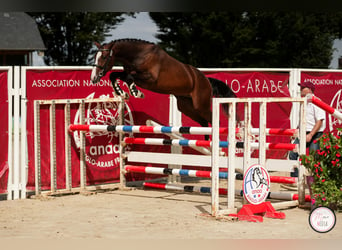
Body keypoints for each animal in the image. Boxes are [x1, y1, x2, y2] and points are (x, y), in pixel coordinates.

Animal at [89, 38, 236, 135]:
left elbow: (130, 77)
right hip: (186, 106)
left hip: (201, 105)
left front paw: (136, 92)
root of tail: (206, 80)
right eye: (95, 56)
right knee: (204, 123)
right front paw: (121, 92)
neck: (139, 55)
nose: (93, 78)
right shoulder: (128, 72)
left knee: (214, 121)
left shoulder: (150, 79)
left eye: (104, 57)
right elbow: (115, 75)